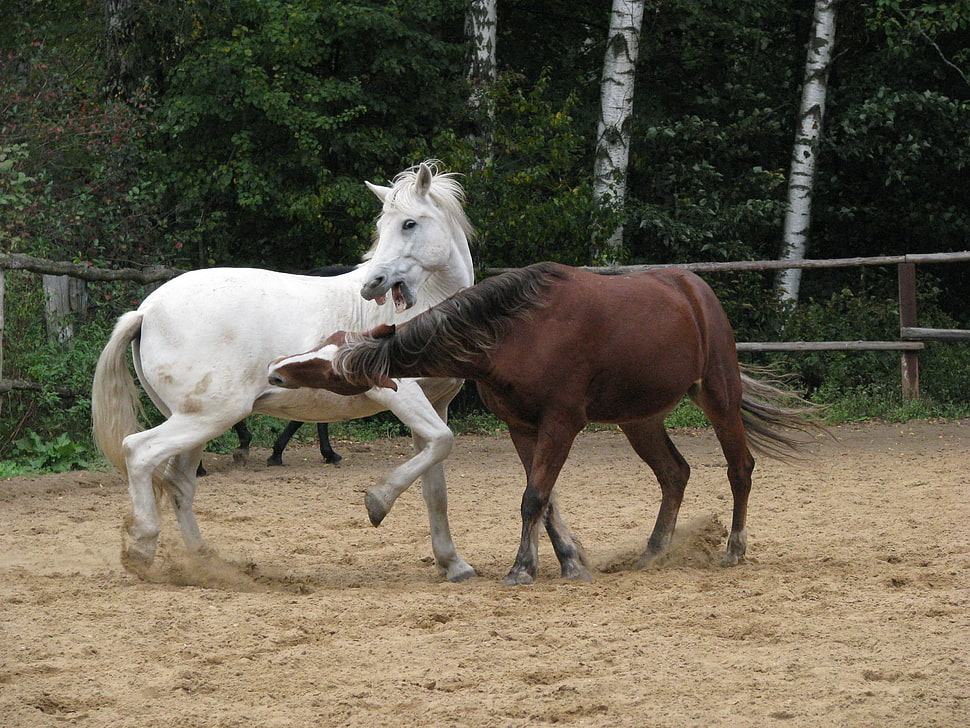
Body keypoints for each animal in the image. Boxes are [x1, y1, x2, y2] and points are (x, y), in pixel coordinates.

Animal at [92, 162, 478, 584]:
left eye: (409, 223)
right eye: (381, 226)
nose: (371, 285)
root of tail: (145, 310)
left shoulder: (436, 405)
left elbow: (435, 486)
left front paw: (453, 564)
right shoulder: (399, 393)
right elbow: (443, 443)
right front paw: (377, 501)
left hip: (193, 421)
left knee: (179, 483)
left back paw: (204, 563)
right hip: (211, 415)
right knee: (139, 452)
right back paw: (141, 550)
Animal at [268, 262, 820, 584]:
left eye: (329, 367)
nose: (276, 369)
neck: (515, 331)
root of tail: (695, 290)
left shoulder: (561, 422)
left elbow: (534, 496)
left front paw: (521, 568)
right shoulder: (522, 427)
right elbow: (544, 496)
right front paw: (563, 562)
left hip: (717, 395)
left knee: (740, 468)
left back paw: (734, 549)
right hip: (640, 420)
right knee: (674, 474)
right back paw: (654, 552)